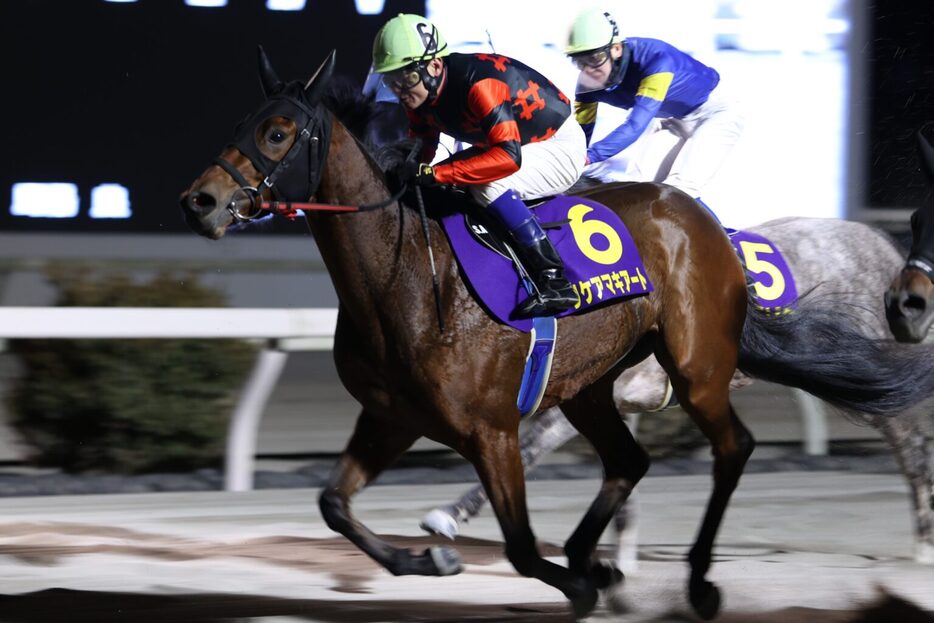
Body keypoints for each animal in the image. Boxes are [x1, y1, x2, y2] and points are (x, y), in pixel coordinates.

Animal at [424, 216, 934, 576]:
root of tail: (884, 246)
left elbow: (526, 448)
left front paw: (447, 515)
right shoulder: (616, 401)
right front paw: (620, 558)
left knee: (912, 449)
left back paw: (923, 545)